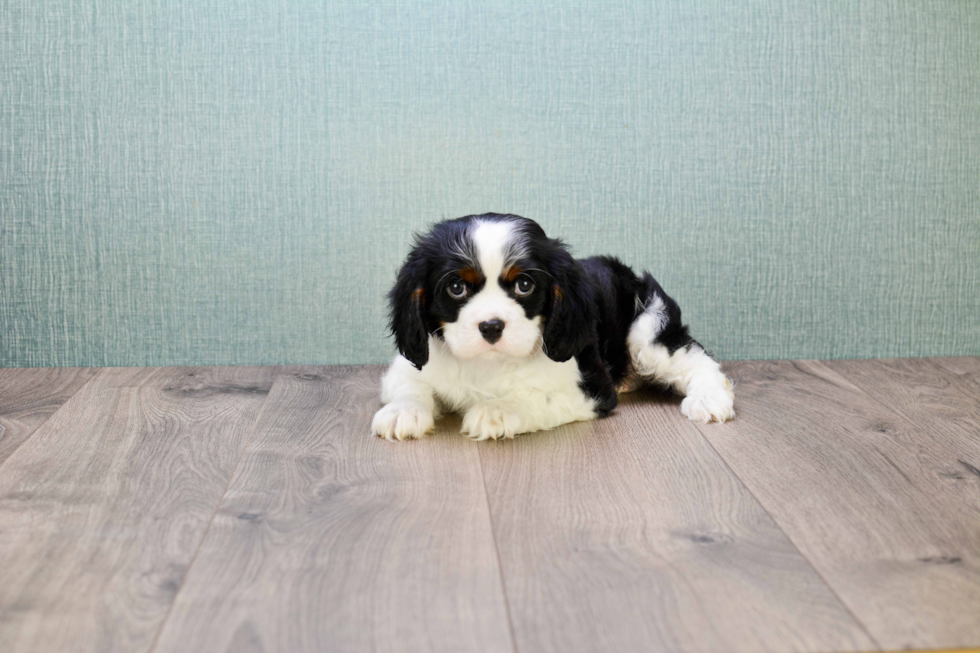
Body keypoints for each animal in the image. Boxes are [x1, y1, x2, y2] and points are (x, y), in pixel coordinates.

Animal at [372, 211, 732, 440]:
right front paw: (402, 412)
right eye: (456, 288)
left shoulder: (590, 389)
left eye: (524, 285)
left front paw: (496, 410)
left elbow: (535, 397)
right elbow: (410, 385)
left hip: (649, 331)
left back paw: (709, 399)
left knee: (696, 360)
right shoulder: (408, 365)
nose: (491, 326)